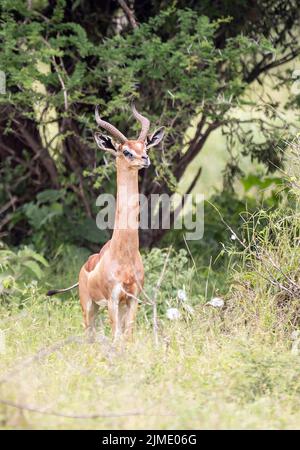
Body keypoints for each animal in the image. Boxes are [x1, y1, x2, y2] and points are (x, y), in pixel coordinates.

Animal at [47, 103, 164, 342]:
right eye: (126, 151)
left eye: (144, 146)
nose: (145, 158)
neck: (124, 256)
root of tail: (84, 267)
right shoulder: (113, 299)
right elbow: (117, 336)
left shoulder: (132, 298)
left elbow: (127, 335)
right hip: (89, 307)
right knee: (89, 334)